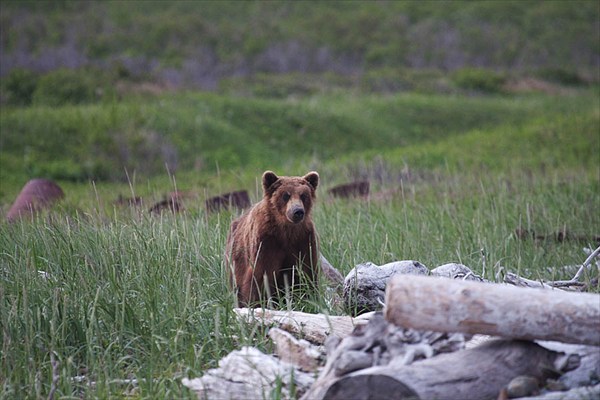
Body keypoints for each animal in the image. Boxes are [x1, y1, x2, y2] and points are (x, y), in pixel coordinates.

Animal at [225, 170, 322, 306]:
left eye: (303, 195)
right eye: (286, 195)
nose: (297, 211)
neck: (285, 231)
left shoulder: (303, 240)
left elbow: (305, 271)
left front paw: (307, 298)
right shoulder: (267, 242)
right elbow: (261, 275)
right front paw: (258, 302)